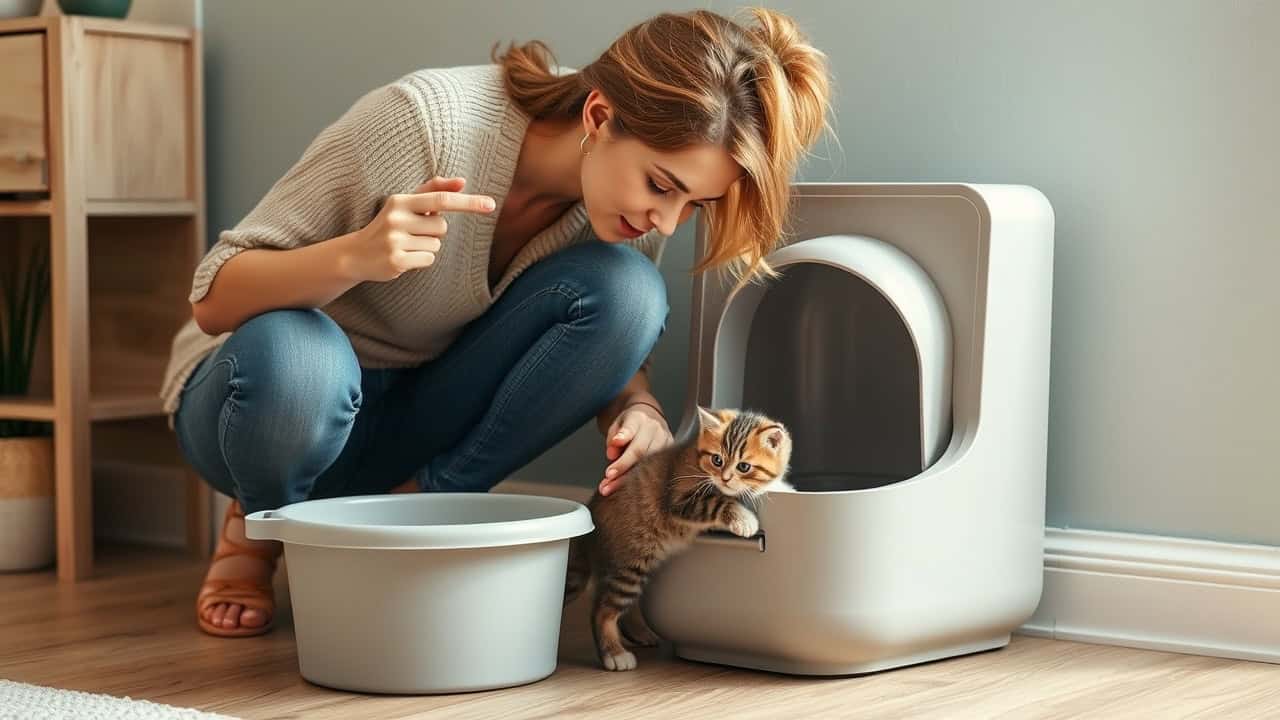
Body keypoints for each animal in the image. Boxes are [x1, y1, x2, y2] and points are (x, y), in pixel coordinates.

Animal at [568, 407, 793, 671]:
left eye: (744, 466)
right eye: (717, 460)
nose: (725, 478)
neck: (698, 458)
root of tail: (591, 509)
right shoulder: (680, 501)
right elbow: (719, 501)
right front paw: (744, 519)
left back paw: (638, 634)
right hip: (630, 562)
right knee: (602, 609)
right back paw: (614, 654)